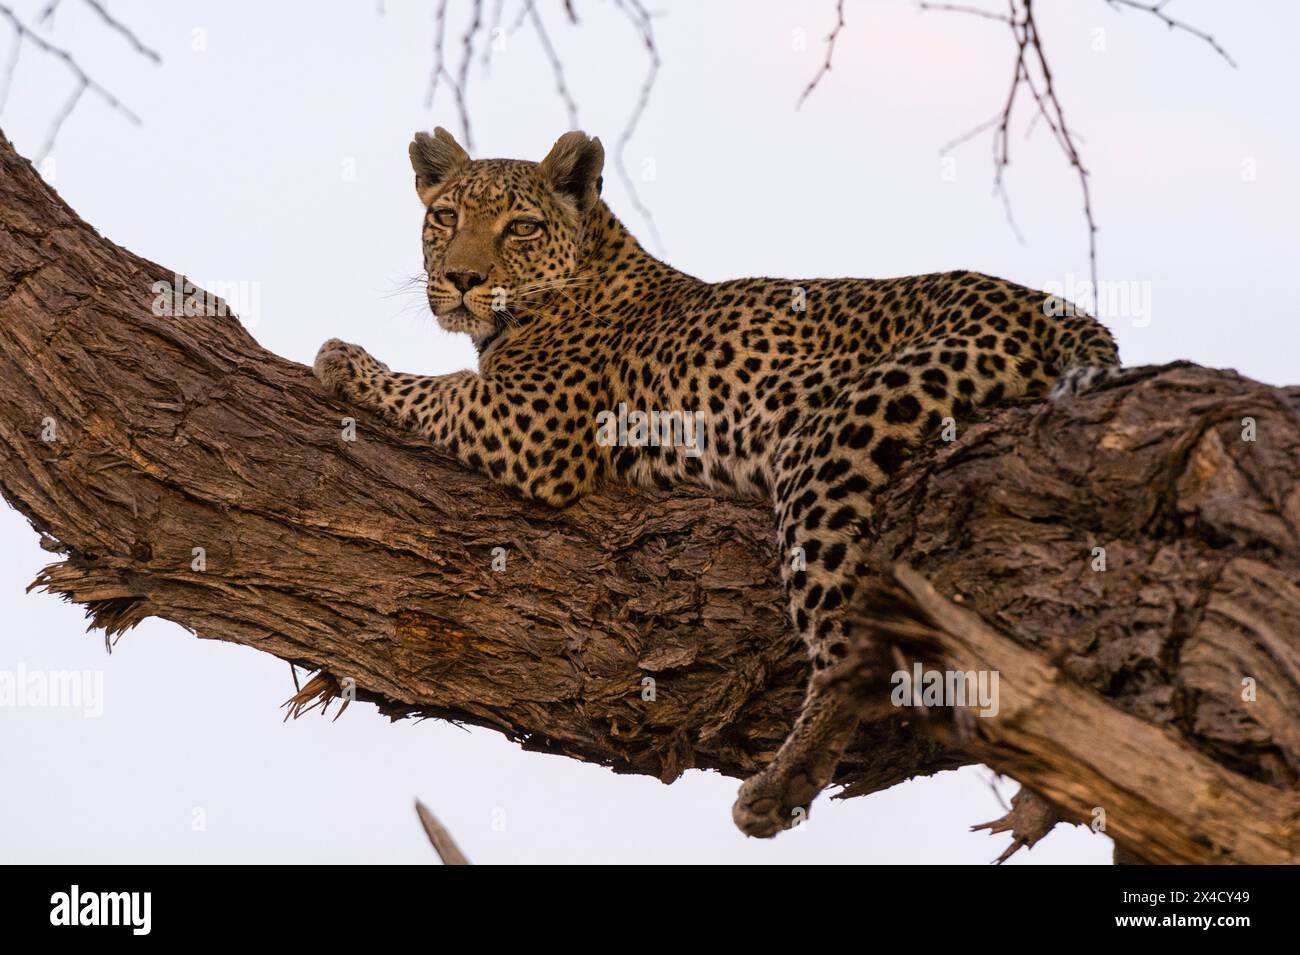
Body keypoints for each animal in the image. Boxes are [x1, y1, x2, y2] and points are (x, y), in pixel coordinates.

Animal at [314, 127, 1118, 836]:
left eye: (520, 227)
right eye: (445, 217)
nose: (462, 279)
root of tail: (1052, 306)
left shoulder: (531, 424)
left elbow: (436, 389)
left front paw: (340, 359)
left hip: (830, 440)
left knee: (850, 647)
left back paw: (780, 785)